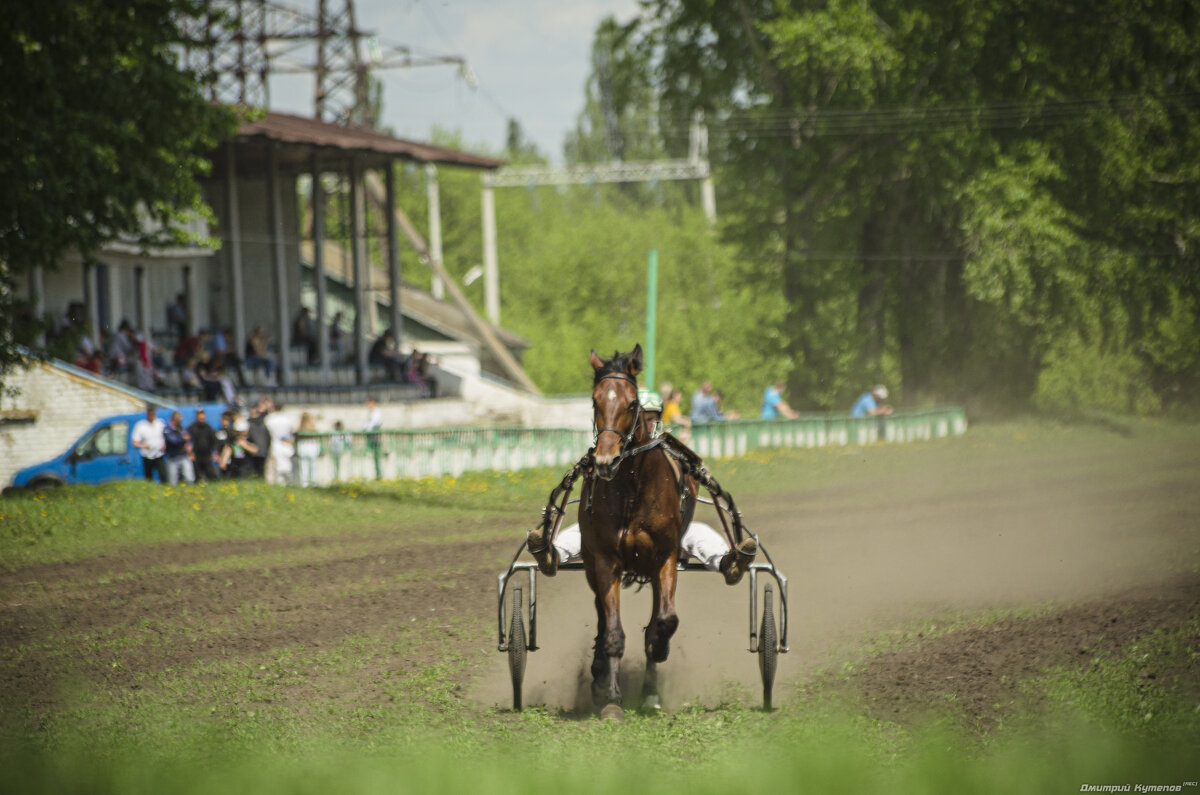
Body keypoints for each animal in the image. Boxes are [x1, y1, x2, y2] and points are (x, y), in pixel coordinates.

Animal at [578, 343, 686, 715]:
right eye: (595, 401)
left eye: (630, 403)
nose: (605, 461)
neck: (632, 488)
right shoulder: (605, 560)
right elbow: (612, 632)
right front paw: (611, 699)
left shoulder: (665, 556)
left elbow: (664, 622)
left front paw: (657, 652)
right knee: (599, 611)